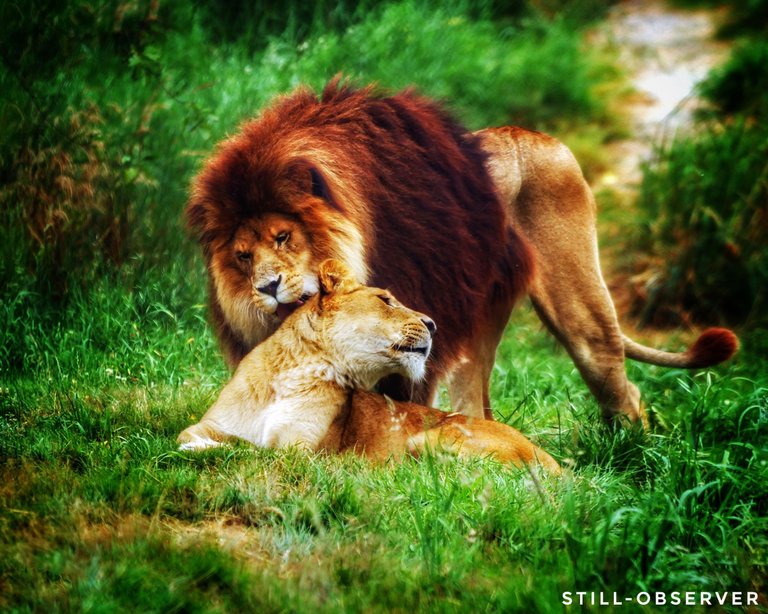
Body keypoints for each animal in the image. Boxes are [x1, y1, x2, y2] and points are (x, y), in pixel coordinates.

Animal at [178, 260, 560, 476]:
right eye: (386, 300)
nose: (433, 324)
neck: (294, 374)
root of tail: (553, 463)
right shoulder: (209, 424)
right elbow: (190, 436)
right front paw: (198, 447)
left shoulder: (302, 451)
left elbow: (255, 451)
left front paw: (210, 450)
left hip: (426, 439)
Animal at [188, 79, 736, 428]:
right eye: (243, 256)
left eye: (283, 237)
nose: (266, 288)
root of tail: (539, 136)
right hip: (482, 318)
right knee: (476, 404)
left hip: (577, 302)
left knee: (619, 381)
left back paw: (631, 460)